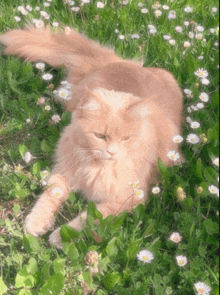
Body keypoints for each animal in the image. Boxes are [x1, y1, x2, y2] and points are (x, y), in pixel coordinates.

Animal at [0, 26, 182, 249]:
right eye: (100, 136)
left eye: (125, 138)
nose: (112, 152)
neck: (98, 167)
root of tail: (118, 62)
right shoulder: (65, 171)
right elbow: (49, 196)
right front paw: (36, 222)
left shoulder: (128, 199)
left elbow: (88, 218)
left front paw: (60, 235)